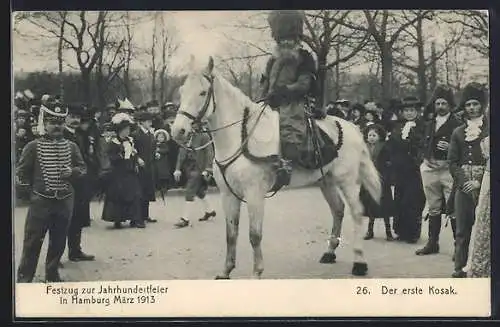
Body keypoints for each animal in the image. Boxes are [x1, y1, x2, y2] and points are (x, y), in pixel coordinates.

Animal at [170, 55, 380, 280]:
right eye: (182, 91)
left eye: (202, 92)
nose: (178, 131)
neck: (240, 137)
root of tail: (353, 127)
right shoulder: (228, 194)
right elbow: (231, 234)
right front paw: (226, 271)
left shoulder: (254, 195)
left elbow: (254, 235)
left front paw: (257, 272)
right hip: (326, 180)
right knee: (338, 210)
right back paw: (329, 252)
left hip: (347, 181)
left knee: (356, 213)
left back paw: (359, 262)